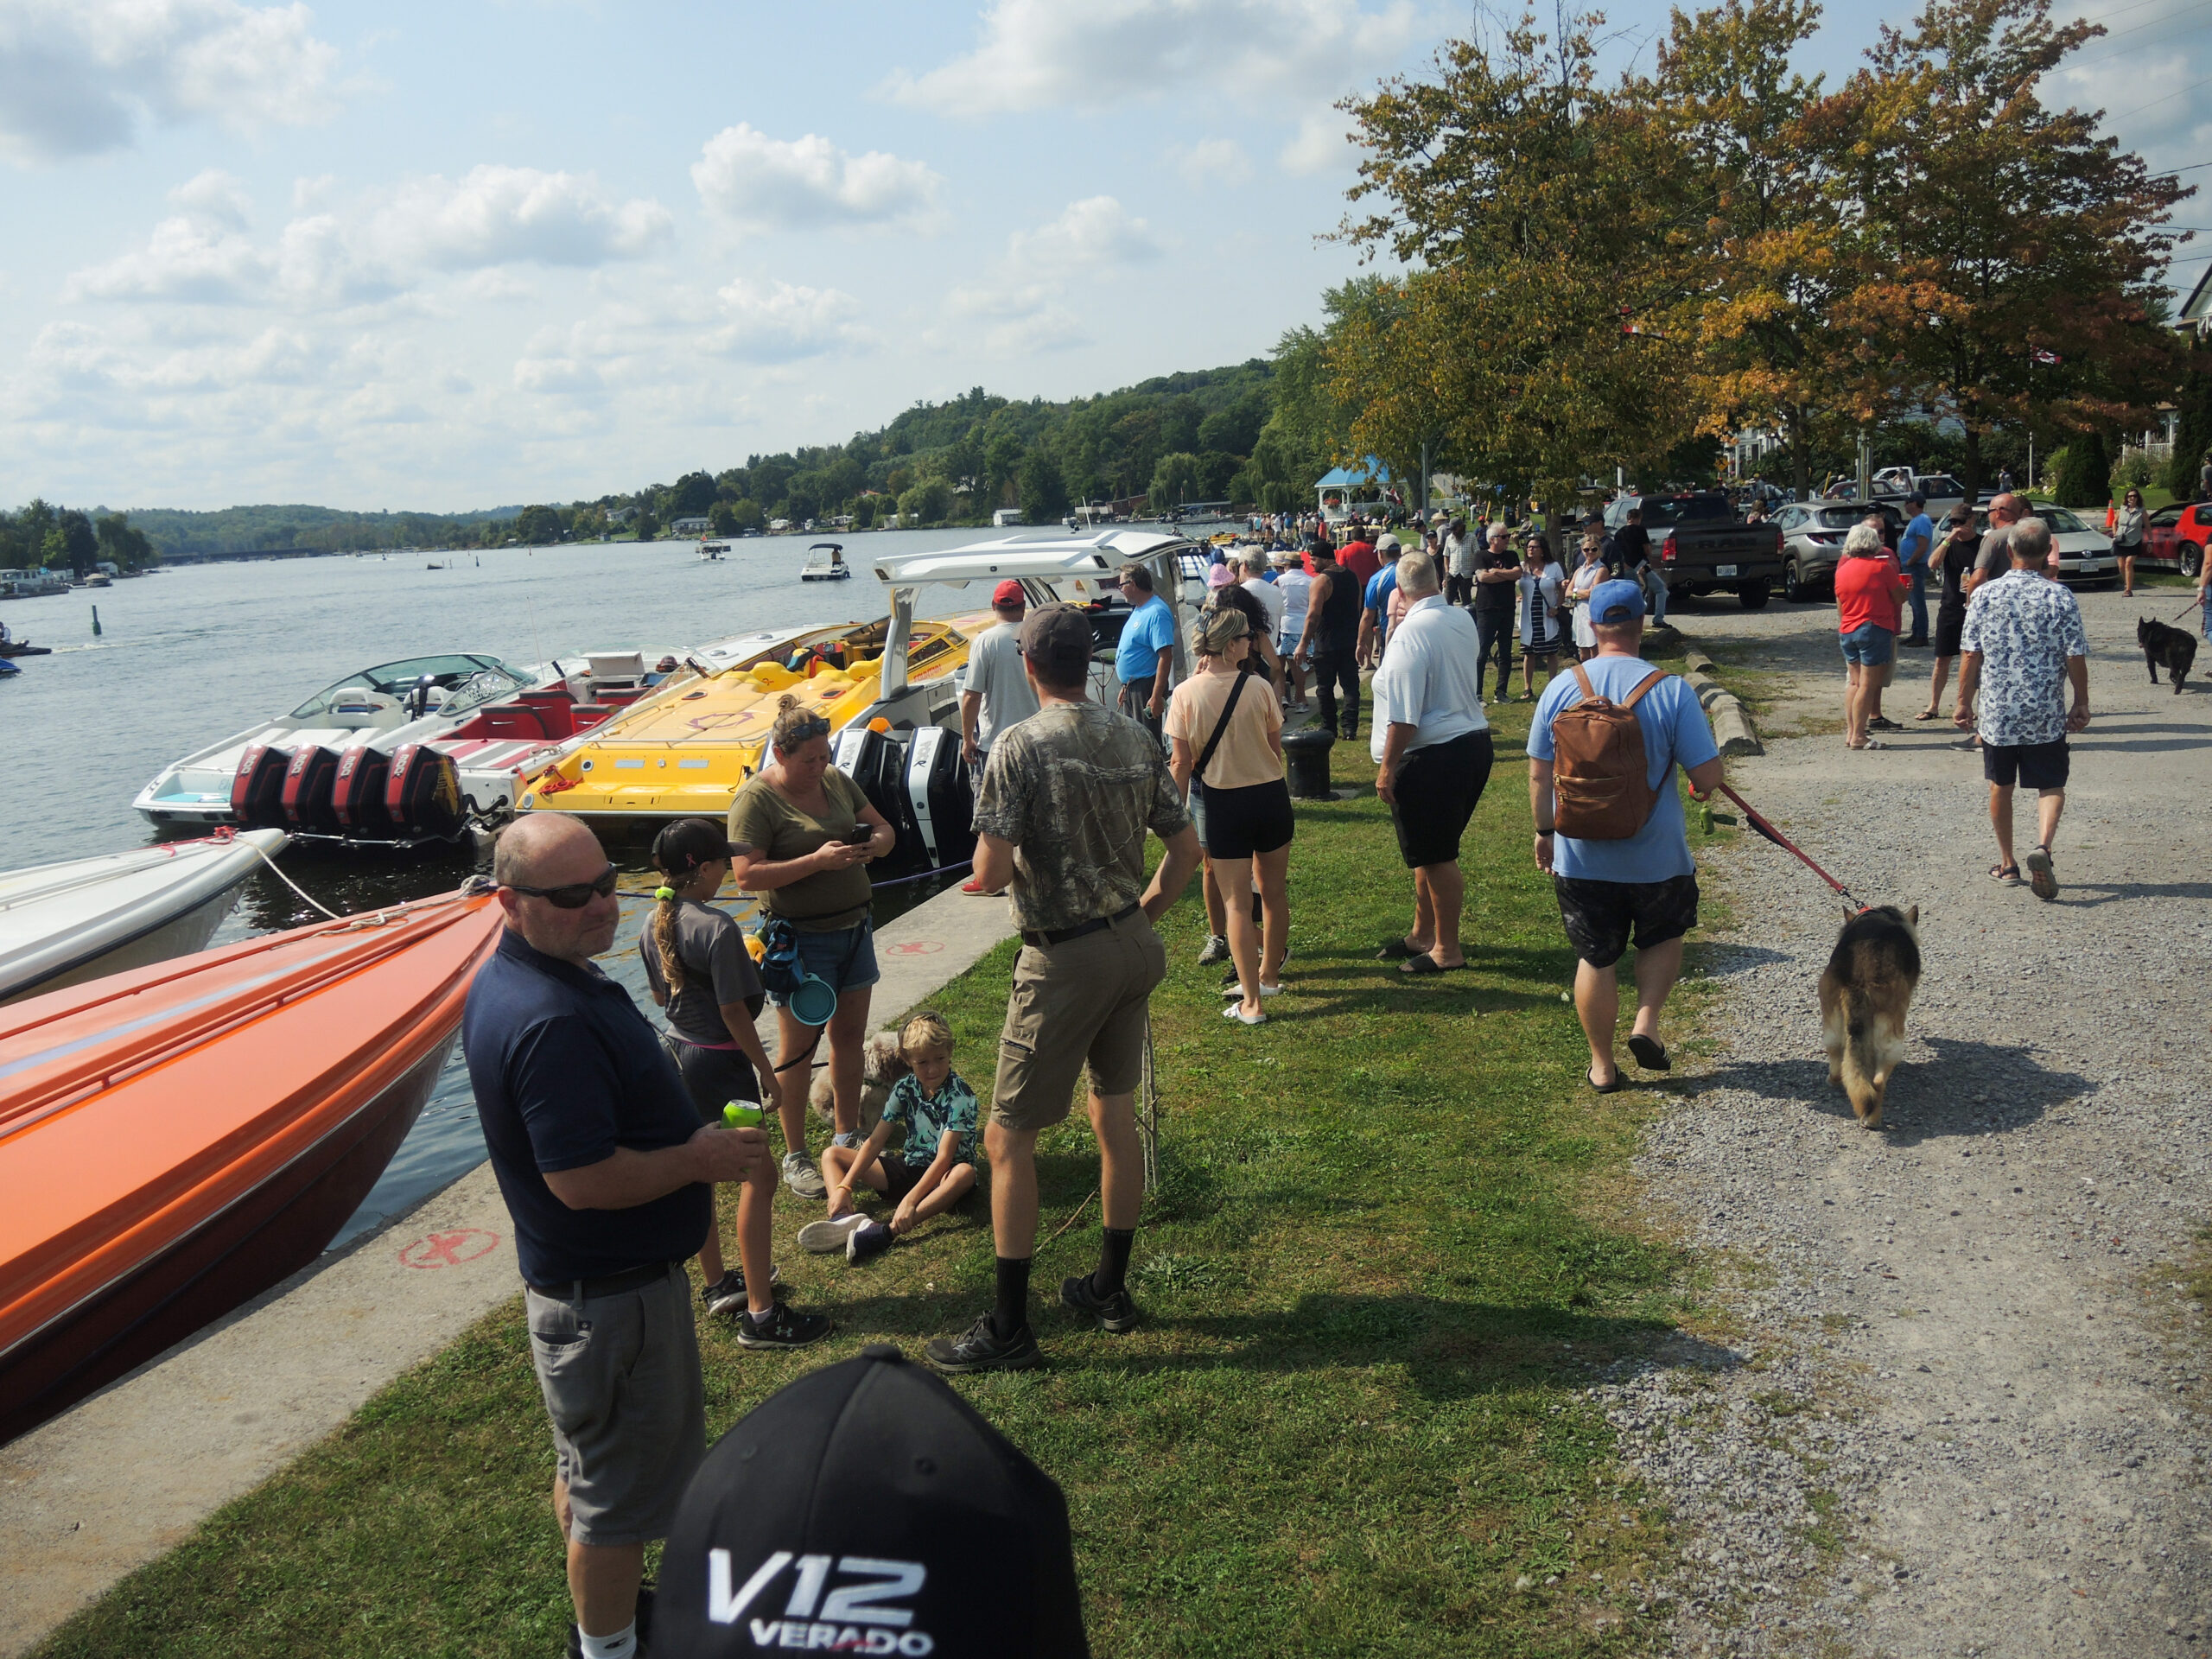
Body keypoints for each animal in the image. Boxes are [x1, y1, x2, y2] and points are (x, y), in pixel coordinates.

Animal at [1822, 911, 1929, 1132]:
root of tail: (1859, 981)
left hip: (1832, 1023)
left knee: (1838, 1059)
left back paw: (1834, 1080)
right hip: (1891, 1035)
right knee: (1878, 1082)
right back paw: (1873, 1119)